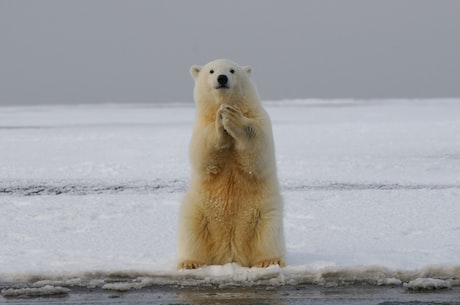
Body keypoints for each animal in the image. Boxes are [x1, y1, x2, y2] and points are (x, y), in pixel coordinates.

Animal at [178, 58, 286, 268]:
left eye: (232, 70)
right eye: (211, 71)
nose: (222, 78)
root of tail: (230, 254)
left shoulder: (260, 118)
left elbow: (258, 150)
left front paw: (232, 117)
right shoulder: (200, 126)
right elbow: (203, 153)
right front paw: (221, 122)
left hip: (264, 214)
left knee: (268, 235)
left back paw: (269, 261)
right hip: (199, 212)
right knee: (191, 232)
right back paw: (190, 263)